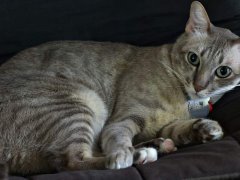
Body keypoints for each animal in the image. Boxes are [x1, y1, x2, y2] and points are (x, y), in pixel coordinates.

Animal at [0, 0, 238, 176]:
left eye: (222, 72)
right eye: (193, 58)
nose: (199, 86)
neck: (185, 100)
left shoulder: (166, 126)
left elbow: (180, 129)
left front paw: (206, 128)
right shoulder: (121, 120)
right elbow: (118, 139)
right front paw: (124, 153)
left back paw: (157, 146)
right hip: (78, 104)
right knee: (71, 161)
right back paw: (141, 154)